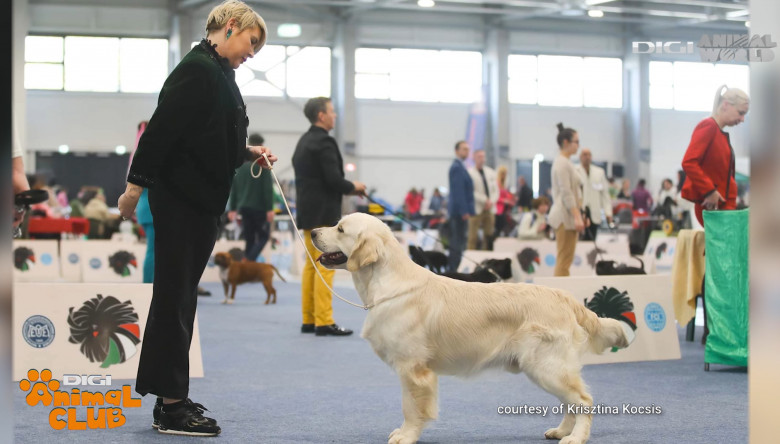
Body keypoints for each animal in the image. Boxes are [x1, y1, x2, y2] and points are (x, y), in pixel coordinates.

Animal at [310, 213, 628, 442]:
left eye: (340, 229)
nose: (312, 231)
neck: (386, 283)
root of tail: (564, 296)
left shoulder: (413, 368)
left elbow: (412, 408)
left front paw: (406, 436)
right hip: (546, 368)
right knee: (570, 402)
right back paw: (561, 431)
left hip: (547, 366)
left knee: (583, 400)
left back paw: (575, 438)